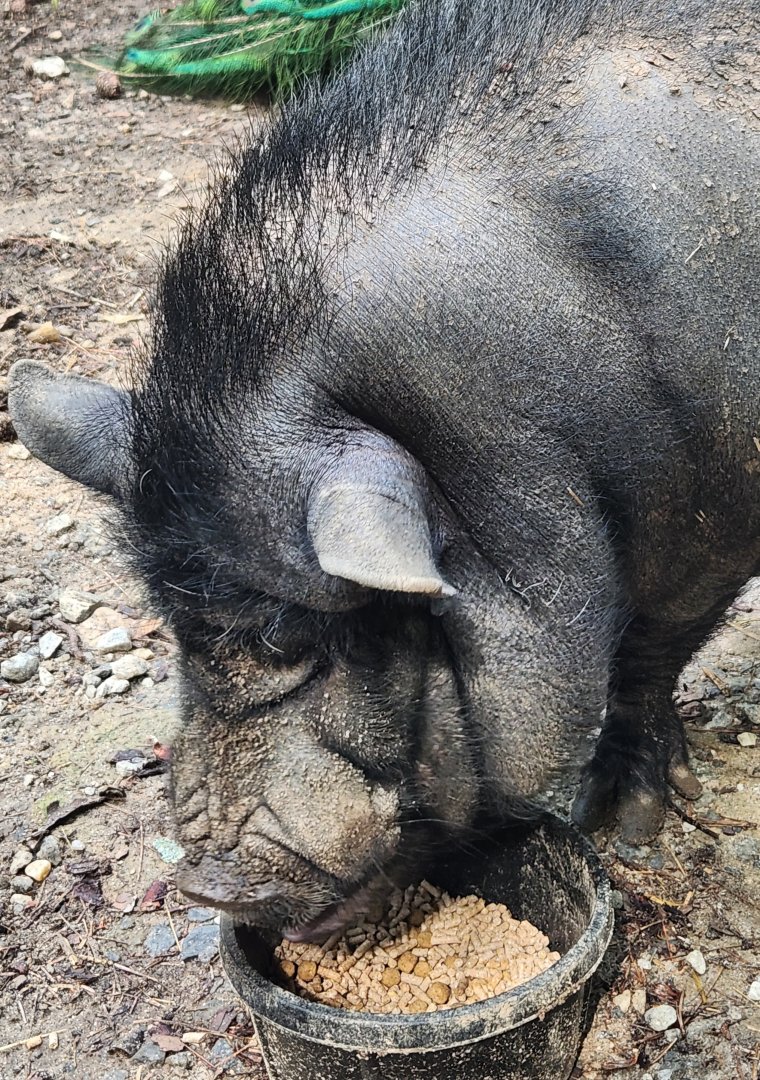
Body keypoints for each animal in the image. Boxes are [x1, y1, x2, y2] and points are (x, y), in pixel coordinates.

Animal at [9, 0, 760, 939]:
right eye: (174, 624)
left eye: (291, 637)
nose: (205, 887)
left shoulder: (718, 517)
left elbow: (652, 650)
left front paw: (622, 822)